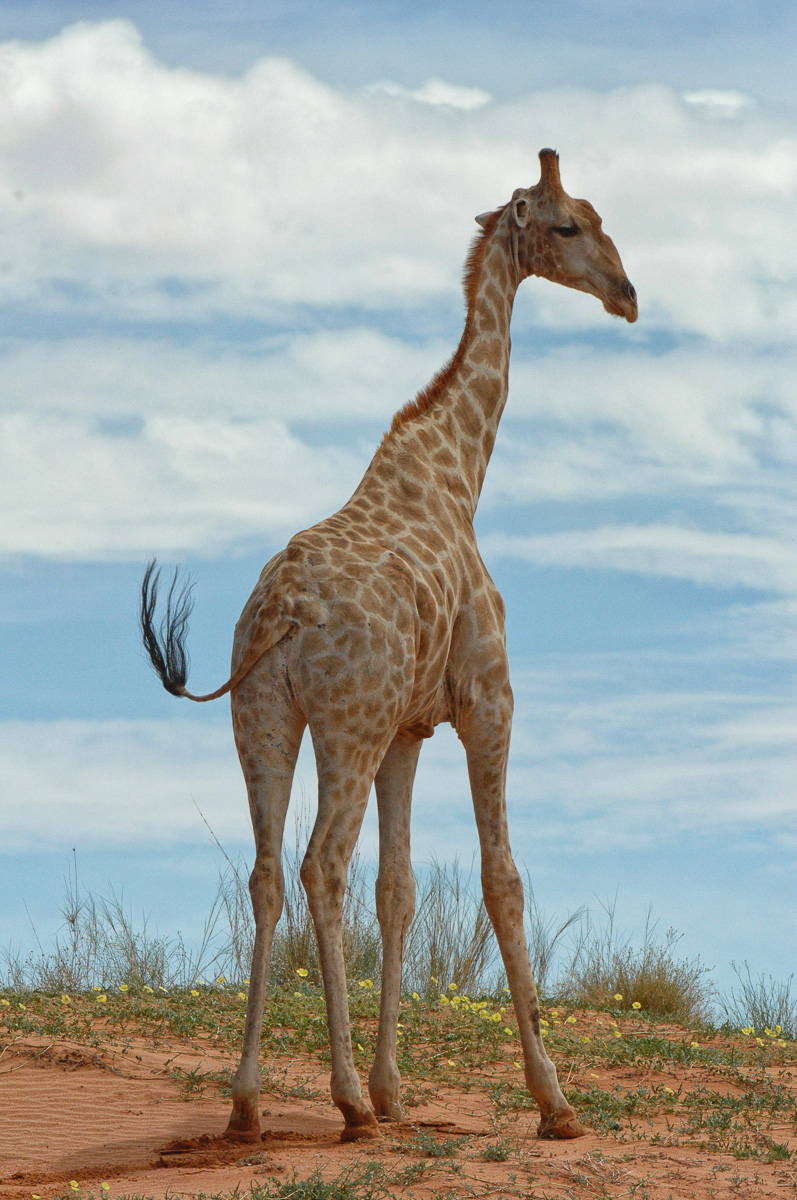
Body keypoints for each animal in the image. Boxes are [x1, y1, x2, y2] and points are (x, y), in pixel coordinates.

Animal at [141, 148, 637, 1144]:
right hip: (347, 722)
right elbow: (500, 879)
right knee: (319, 863)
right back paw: (338, 1103)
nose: (627, 295)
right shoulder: (487, 702)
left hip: (265, 718)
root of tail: (283, 613)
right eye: (568, 225)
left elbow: (399, 891)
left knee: (266, 873)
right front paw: (552, 1101)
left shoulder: (410, 730)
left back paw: (249, 1105)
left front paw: (395, 1089)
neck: (458, 473)